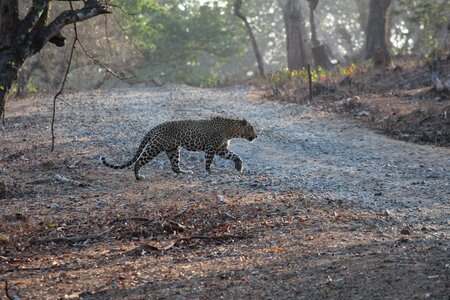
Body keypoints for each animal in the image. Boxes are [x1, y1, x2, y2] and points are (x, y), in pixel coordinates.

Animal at [101, 116, 256, 179]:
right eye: (251, 128)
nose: (256, 136)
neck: (231, 131)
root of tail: (155, 128)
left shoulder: (220, 149)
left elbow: (235, 155)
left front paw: (239, 166)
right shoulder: (211, 148)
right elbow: (208, 161)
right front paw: (209, 172)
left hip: (173, 149)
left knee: (174, 166)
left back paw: (184, 172)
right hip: (154, 147)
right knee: (139, 161)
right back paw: (138, 176)